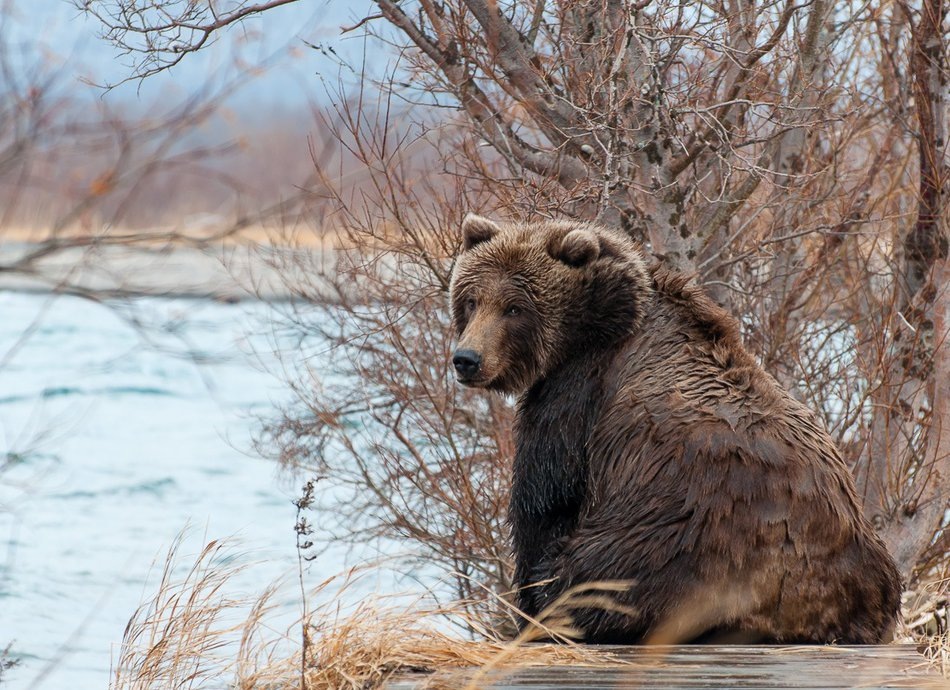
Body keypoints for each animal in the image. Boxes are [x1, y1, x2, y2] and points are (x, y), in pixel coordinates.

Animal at [450, 214, 904, 644]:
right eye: (471, 300)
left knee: (597, 573)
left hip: (684, 533)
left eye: (514, 308)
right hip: (866, 560)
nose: (466, 358)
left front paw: (527, 607)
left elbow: (546, 497)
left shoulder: (580, 388)